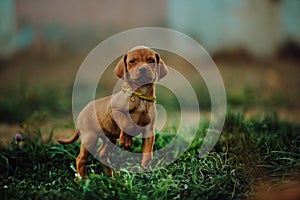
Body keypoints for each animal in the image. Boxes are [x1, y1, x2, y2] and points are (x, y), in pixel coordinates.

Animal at [57, 46, 168, 177]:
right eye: (132, 61)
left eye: (151, 60)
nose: (143, 68)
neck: (140, 95)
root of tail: (81, 113)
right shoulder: (114, 110)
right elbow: (127, 124)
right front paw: (126, 141)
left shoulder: (148, 129)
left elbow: (148, 151)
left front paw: (145, 167)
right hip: (90, 137)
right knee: (80, 159)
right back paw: (82, 178)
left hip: (109, 139)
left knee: (102, 154)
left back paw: (110, 176)